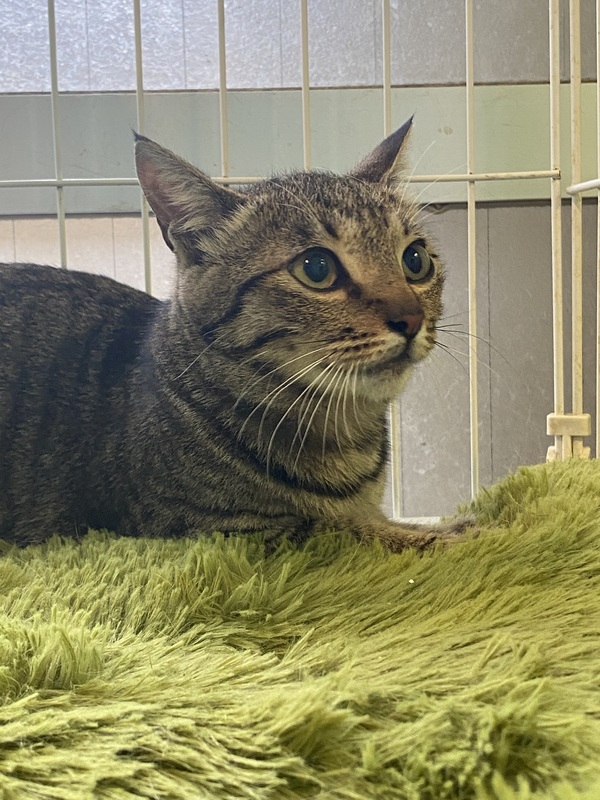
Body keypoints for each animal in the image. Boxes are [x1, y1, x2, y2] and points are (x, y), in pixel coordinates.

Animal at [0, 118, 473, 551]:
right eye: (316, 268)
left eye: (415, 260)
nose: (411, 318)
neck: (343, 429)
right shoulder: (211, 531)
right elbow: (346, 530)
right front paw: (456, 533)